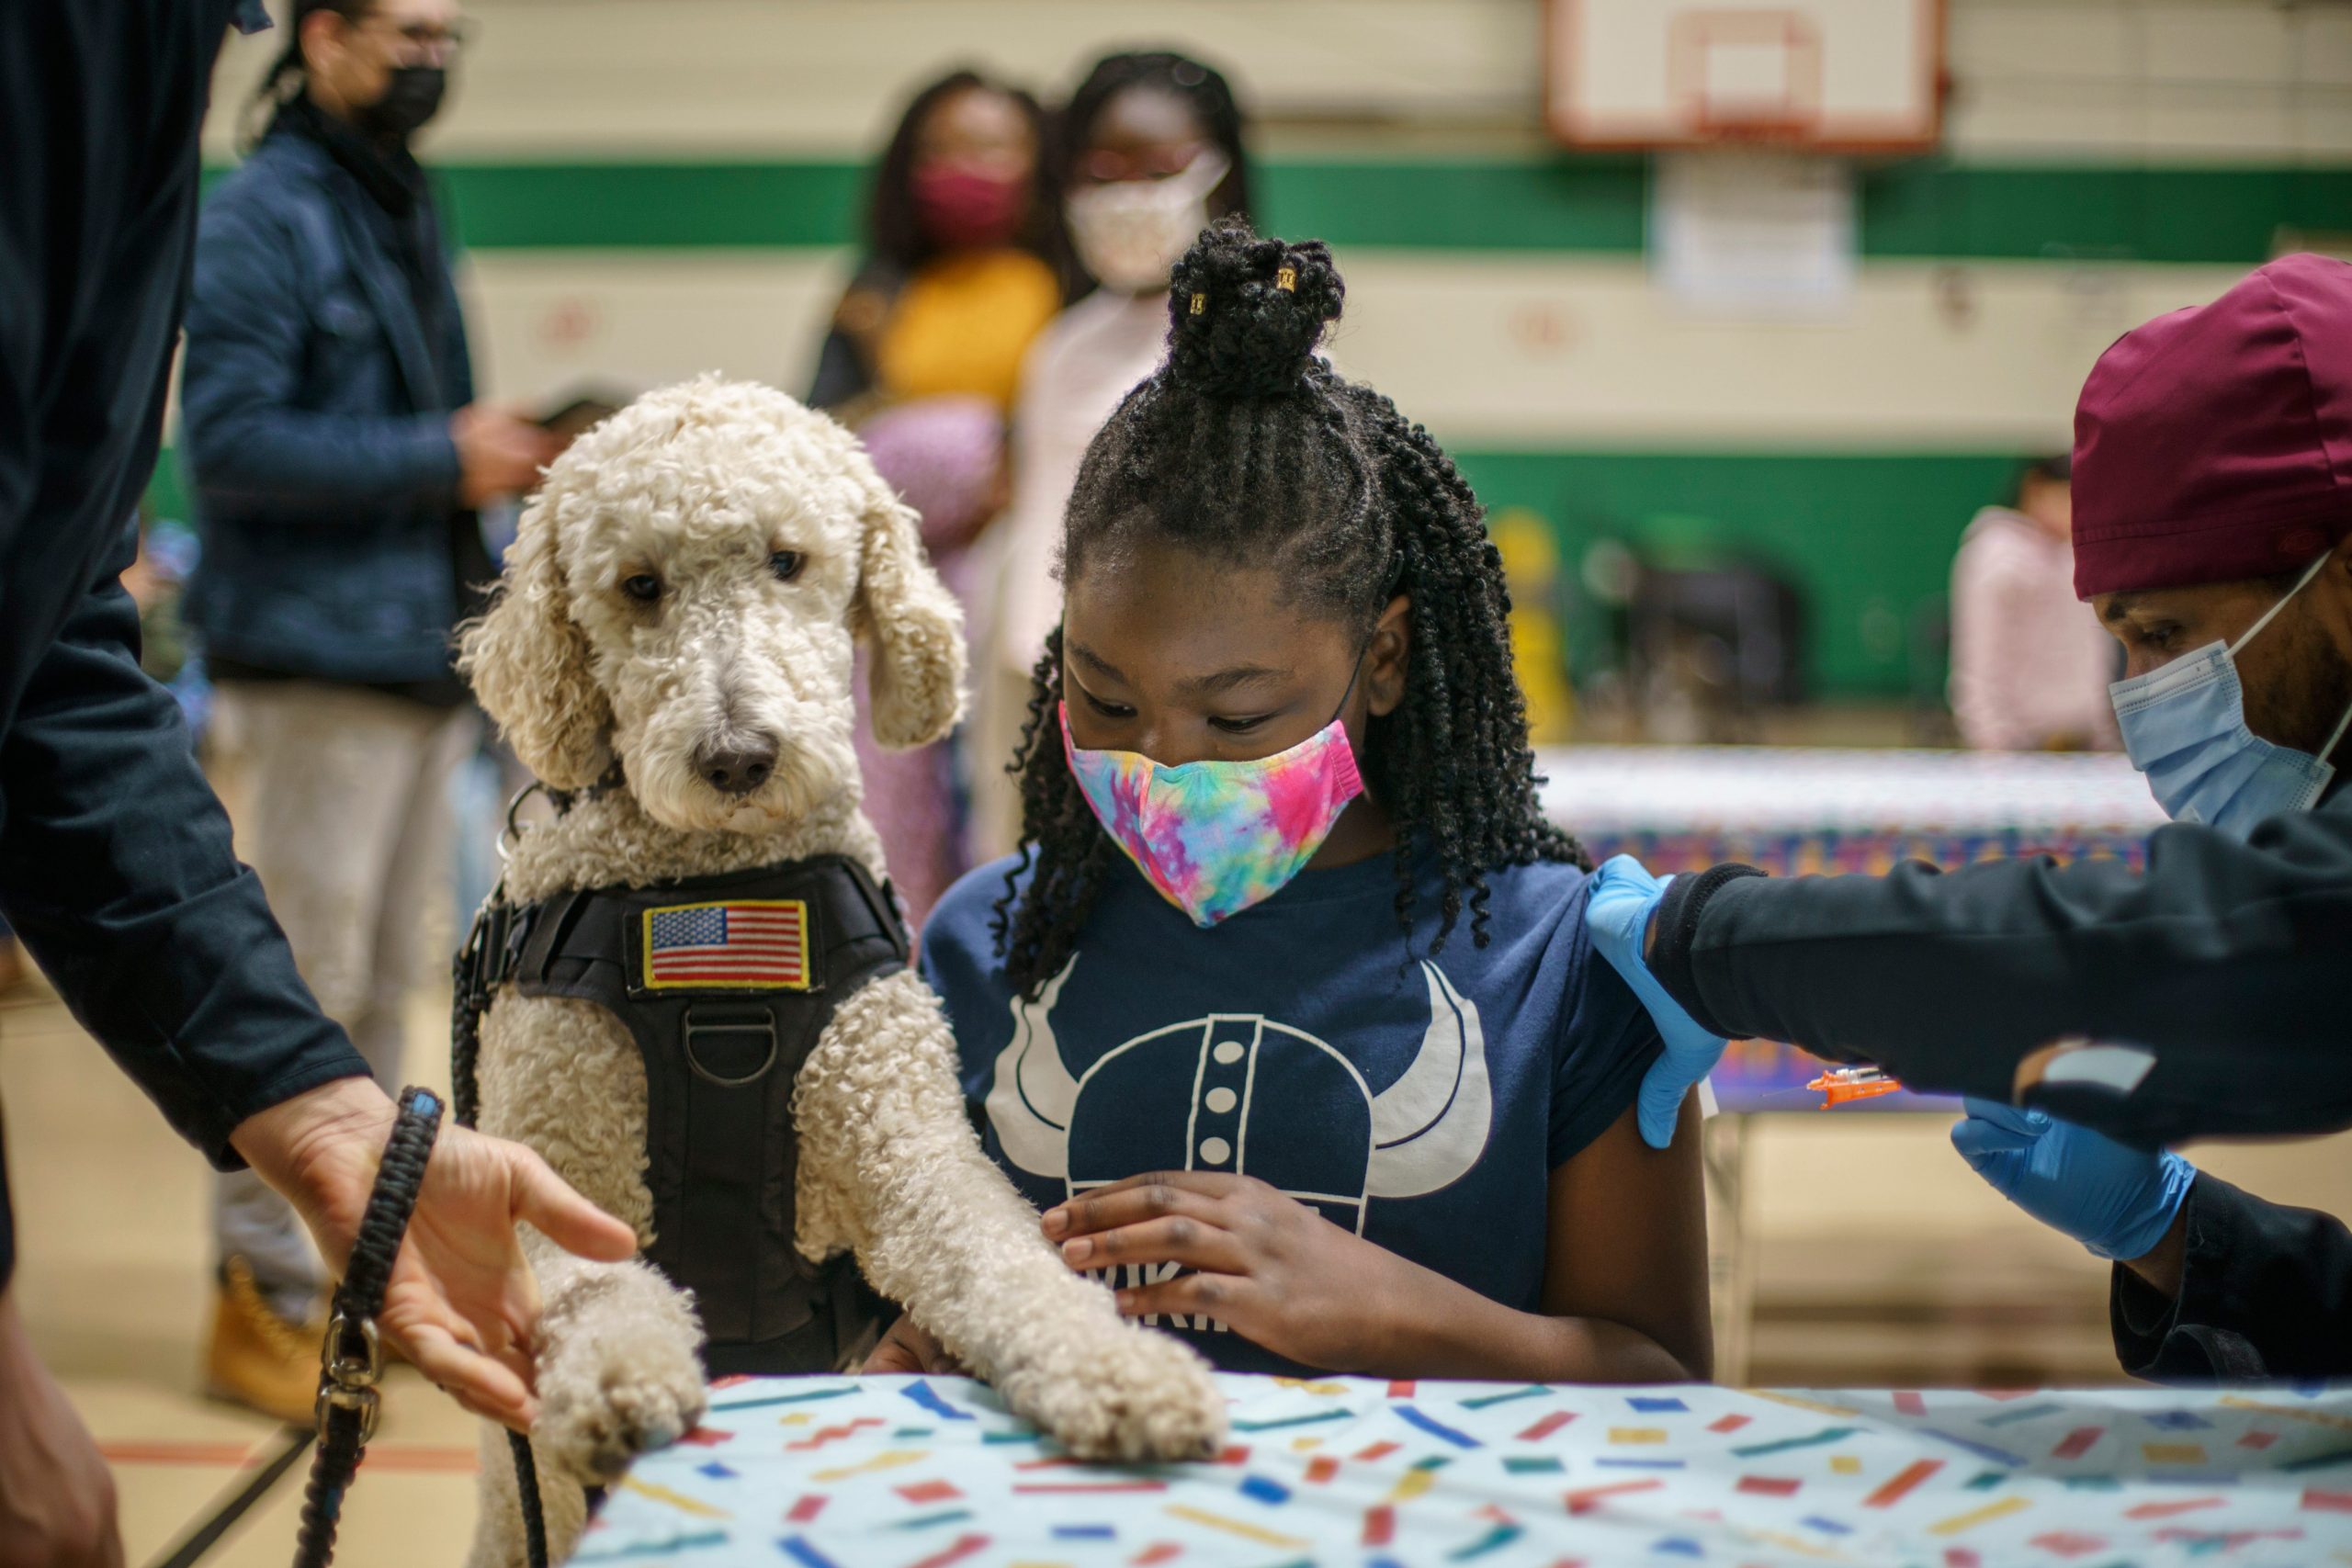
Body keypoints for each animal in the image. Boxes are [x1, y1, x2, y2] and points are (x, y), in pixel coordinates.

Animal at [451, 373, 1223, 1561]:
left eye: (788, 560)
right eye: (639, 586)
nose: (737, 758)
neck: (719, 902)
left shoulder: (907, 1157)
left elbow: (1007, 1263)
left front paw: (1119, 1370)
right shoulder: (552, 1174)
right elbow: (599, 1291)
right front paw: (624, 1380)